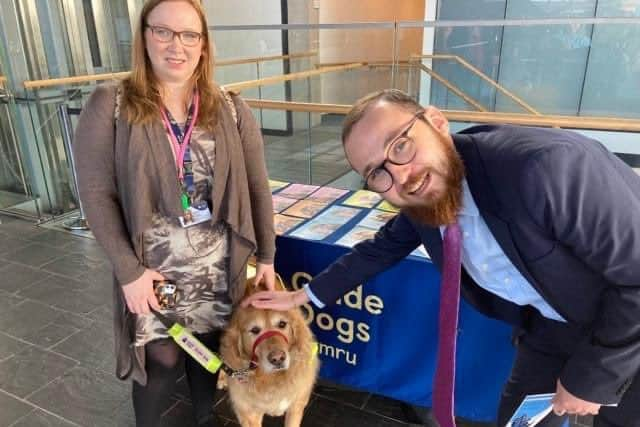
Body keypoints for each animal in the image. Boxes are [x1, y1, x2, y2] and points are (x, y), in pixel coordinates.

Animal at [220, 280, 320, 426]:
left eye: (282, 324)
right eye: (254, 330)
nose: (278, 358)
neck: (271, 379)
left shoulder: (296, 406)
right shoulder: (250, 415)